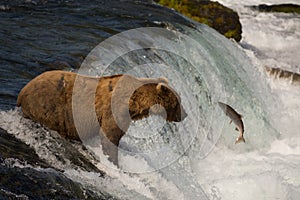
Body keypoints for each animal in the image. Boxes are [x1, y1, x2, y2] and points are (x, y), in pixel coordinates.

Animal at [17, 70, 188, 166]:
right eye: (178, 102)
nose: (185, 115)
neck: (137, 103)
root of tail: (22, 91)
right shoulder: (116, 110)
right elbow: (110, 135)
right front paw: (115, 162)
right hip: (49, 107)